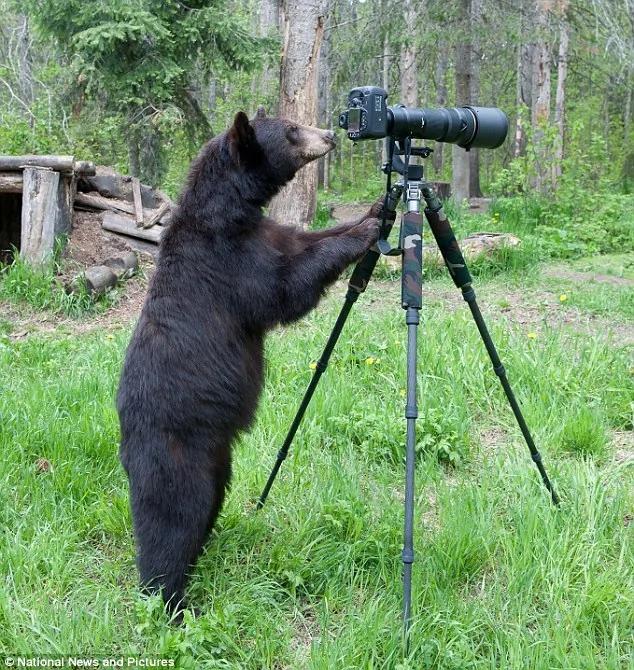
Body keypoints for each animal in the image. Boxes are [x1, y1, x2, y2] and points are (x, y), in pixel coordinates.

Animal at [116, 107, 386, 616]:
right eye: (292, 130)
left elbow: (306, 243)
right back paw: (171, 601)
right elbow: (284, 289)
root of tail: (124, 444)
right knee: (170, 522)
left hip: (218, 459)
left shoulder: (267, 234)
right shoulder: (231, 265)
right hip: (176, 454)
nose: (330, 133)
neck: (230, 214)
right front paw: (367, 231)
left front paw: (377, 209)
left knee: (206, 506)